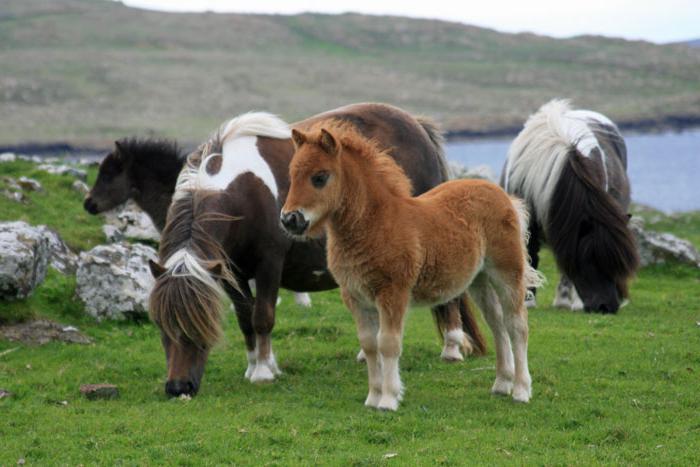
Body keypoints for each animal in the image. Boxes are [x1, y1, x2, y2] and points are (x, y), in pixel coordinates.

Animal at [148, 103, 486, 398]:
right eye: (161, 326)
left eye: (196, 325)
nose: (178, 387)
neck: (243, 189)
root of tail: (417, 125)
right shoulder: (230, 270)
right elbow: (245, 319)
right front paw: (255, 365)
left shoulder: (269, 263)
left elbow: (263, 317)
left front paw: (263, 372)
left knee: (450, 298)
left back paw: (452, 348)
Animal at [278, 122, 540, 412]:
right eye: (292, 175)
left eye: (320, 177)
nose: (290, 219)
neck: (376, 223)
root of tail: (504, 196)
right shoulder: (355, 297)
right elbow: (369, 345)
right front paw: (372, 397)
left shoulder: (393, 293)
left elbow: (388, 344)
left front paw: (389, 399)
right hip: (479, 280)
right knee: (496, 322)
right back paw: (502, 384)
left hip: (507, 272)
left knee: (516, 324)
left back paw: (521, 390)